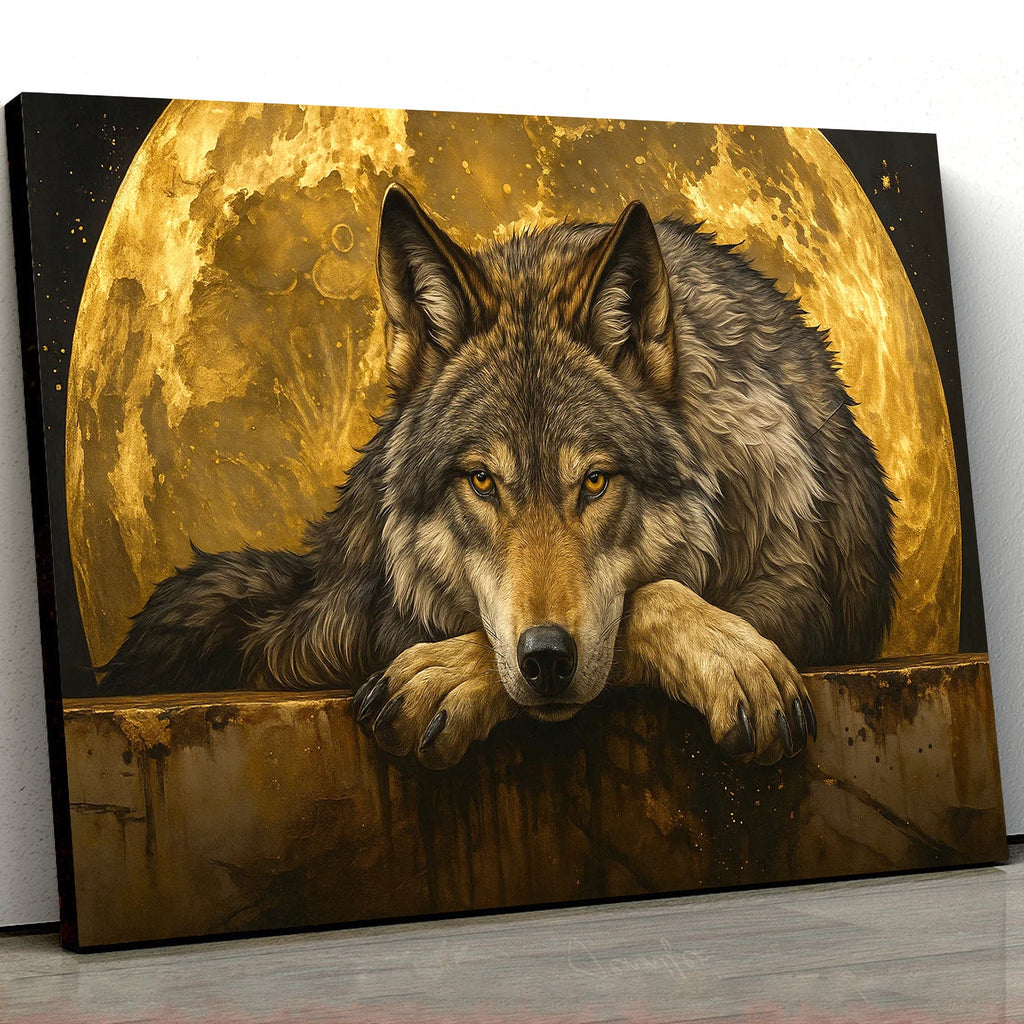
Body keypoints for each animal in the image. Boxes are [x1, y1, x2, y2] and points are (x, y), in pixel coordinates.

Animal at [101, 182, 898, 768]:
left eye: (595, 482)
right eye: (482, 482)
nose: (546, 659)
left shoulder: (805, 589)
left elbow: (652, 599)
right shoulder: (342, 631)